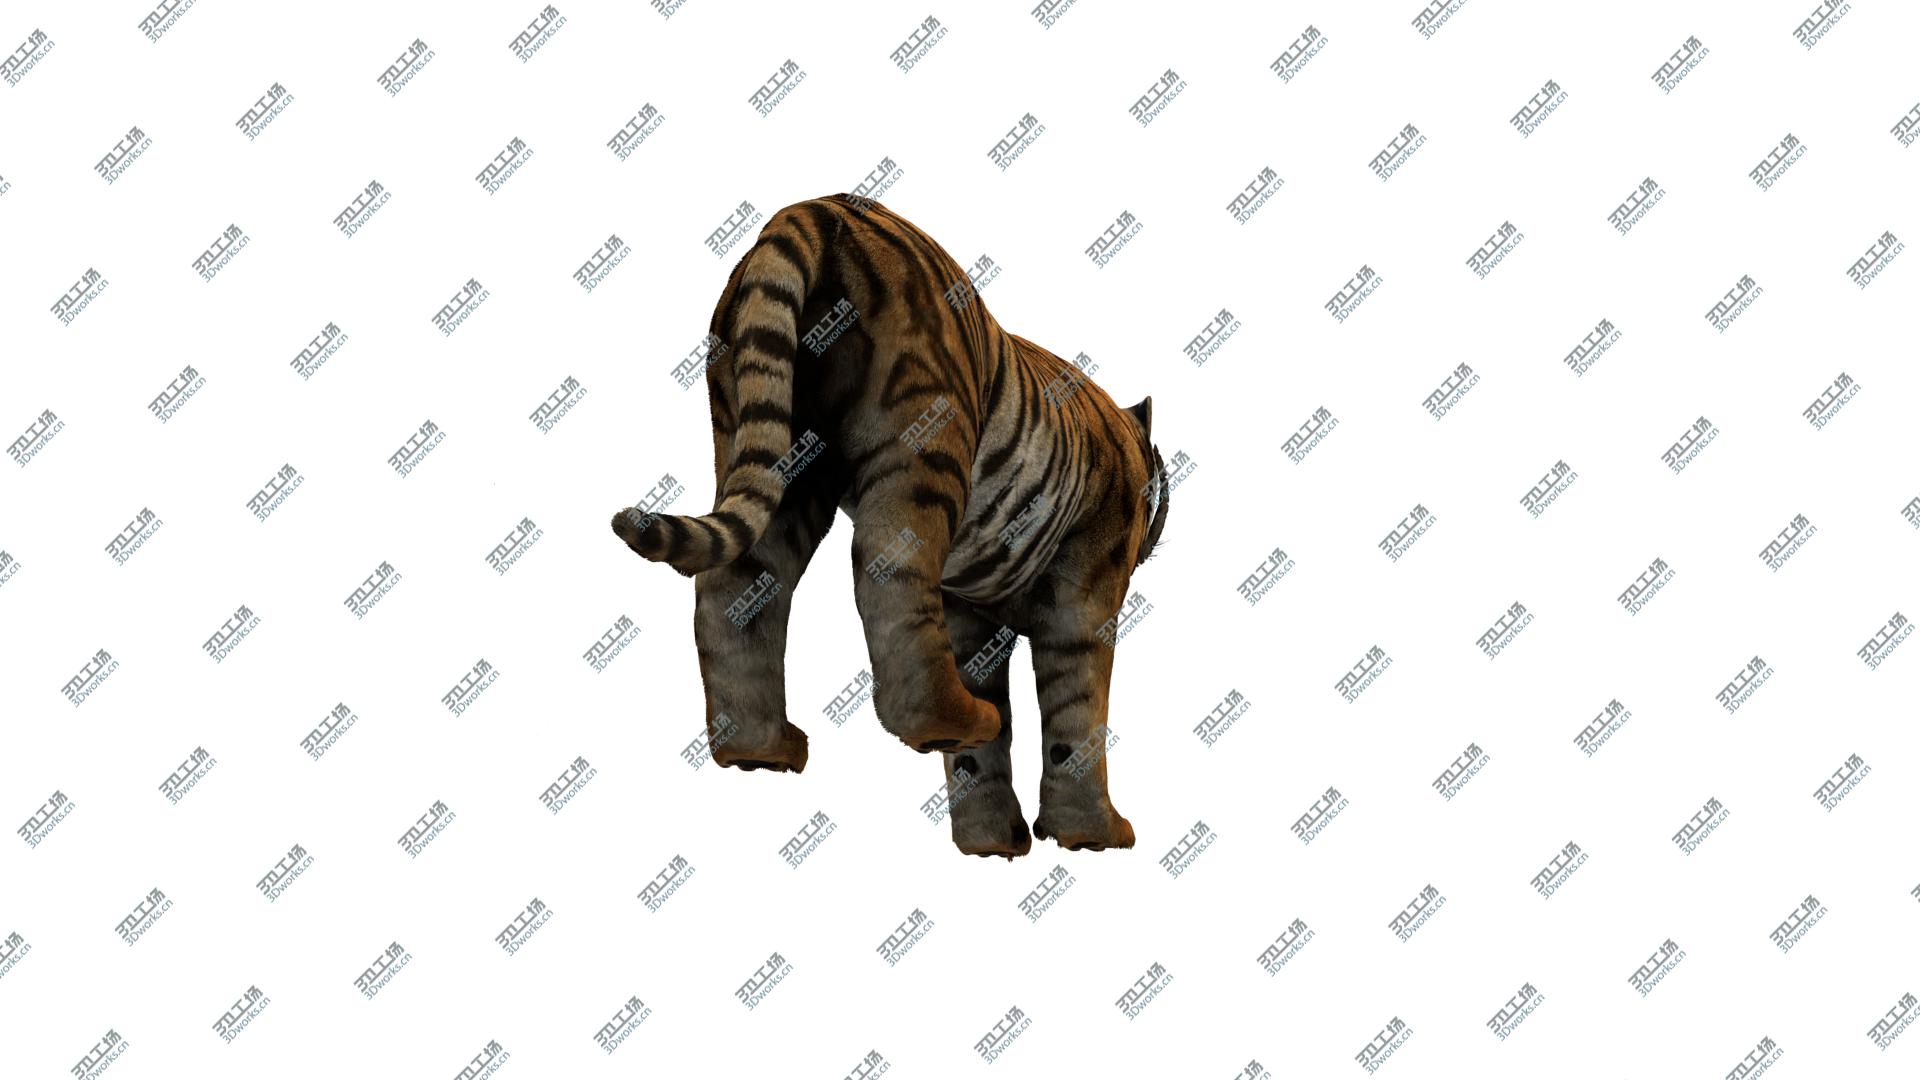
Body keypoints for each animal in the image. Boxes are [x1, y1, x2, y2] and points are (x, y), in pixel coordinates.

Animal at [610, 194, 1169, 858]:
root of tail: (815, 210)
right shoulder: (1086, 593)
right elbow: (1078, 710)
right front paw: (1093, 834)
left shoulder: (967, 608)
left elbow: (986, 743)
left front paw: (990, 842)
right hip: (924, 436)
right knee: (888, 574)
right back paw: (946, 722)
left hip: (777, 446)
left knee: (738, 587)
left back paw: (760, 749)